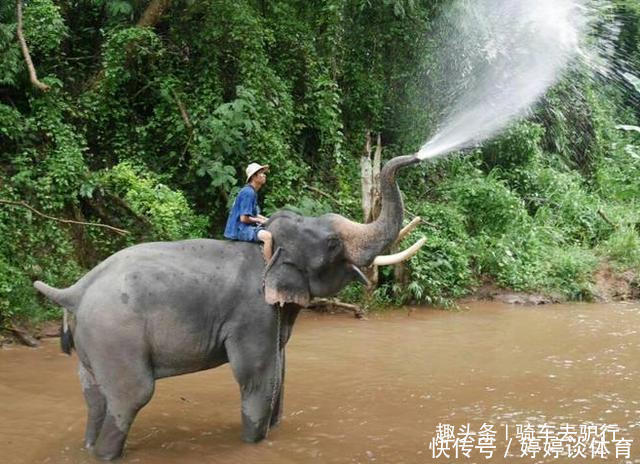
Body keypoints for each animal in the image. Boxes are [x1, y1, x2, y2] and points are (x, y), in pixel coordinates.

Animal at [33, 154, 424, 460]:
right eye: (331, 244)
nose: (417, 157)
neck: (266, 246)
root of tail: (75, 291)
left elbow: (280, 371)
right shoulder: (251, 313)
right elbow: (256, 375)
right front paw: (253, 443)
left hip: (93, 344)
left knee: (94, 398)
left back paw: (88, 446)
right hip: (115, 337)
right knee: (131, 396)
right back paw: (106, 453)